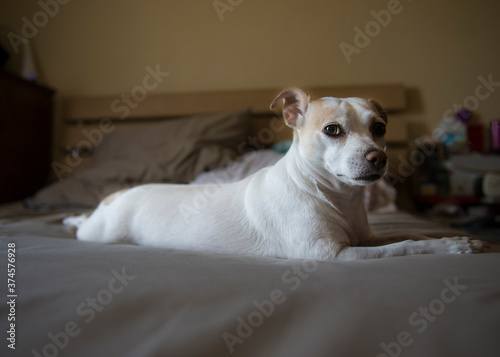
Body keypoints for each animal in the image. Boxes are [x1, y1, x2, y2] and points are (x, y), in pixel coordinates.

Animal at [64, 87, 486, 260]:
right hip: (100, 233)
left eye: (379, 128)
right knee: (83, 226)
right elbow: (406, 246)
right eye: (333, 130)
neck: (335, 198)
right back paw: (72, 218)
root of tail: (115, 197)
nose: (377, 158)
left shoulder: (364, 239)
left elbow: (413, 234)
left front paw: (462, 239)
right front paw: (453, 247)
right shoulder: (336, 254)